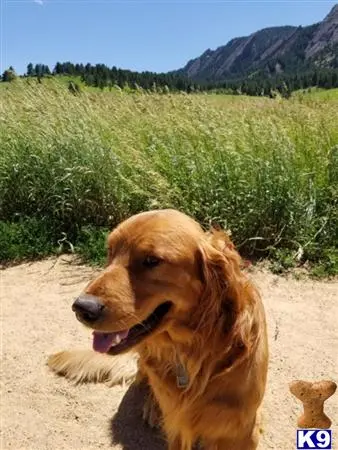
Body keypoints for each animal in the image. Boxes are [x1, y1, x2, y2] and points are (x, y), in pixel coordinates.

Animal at [48, 209, 270, 450]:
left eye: (151, 261)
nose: (82, 307)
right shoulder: (179, 426)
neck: (191, 352)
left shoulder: (243, 430)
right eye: (110, 251)